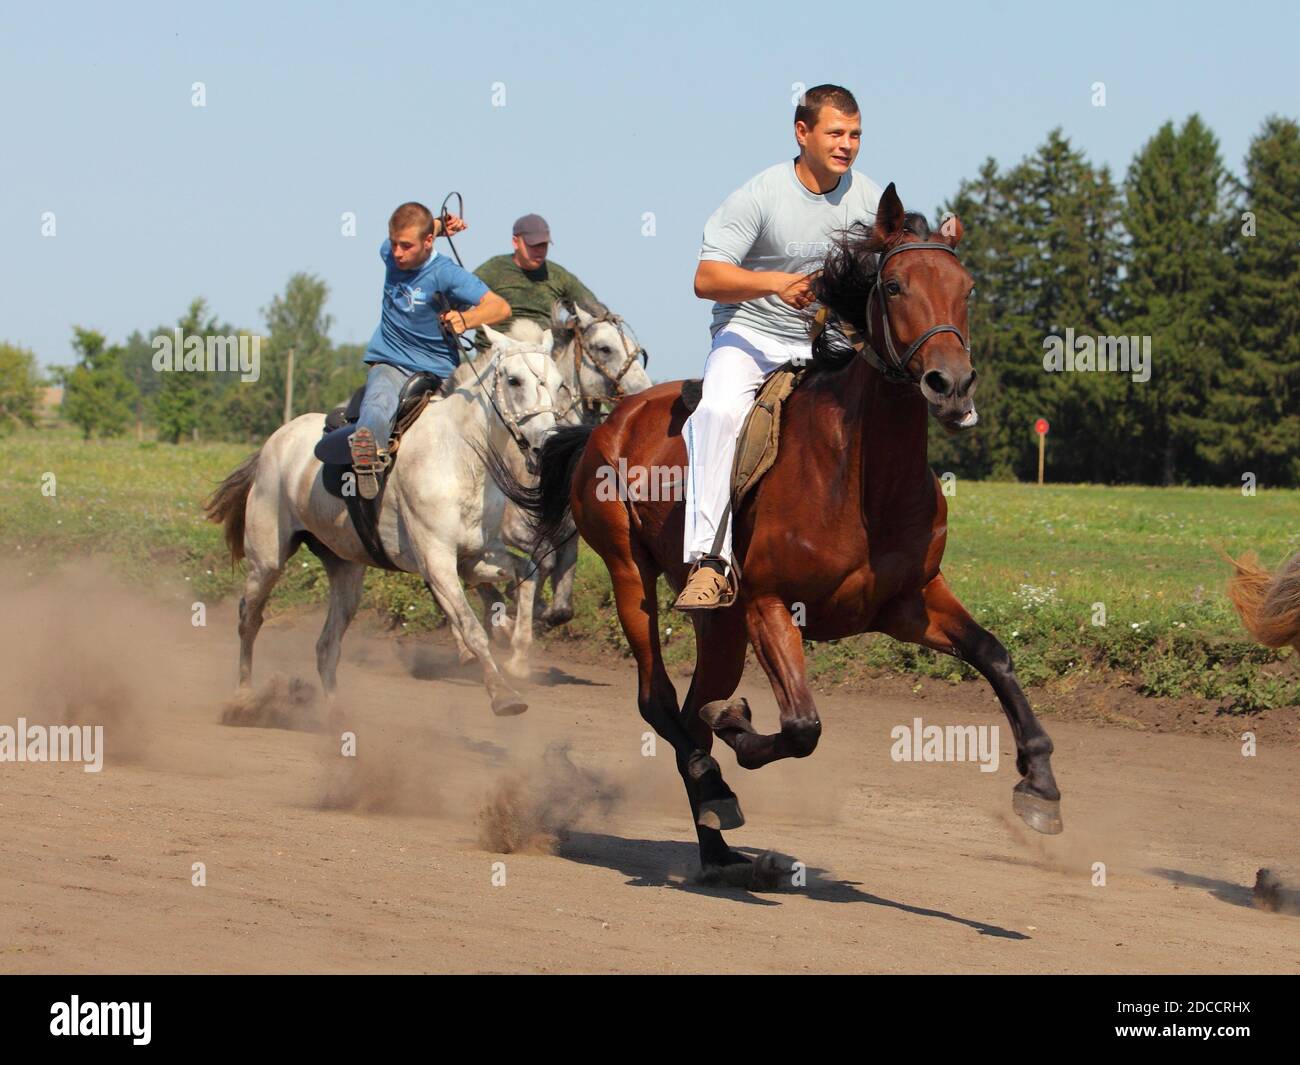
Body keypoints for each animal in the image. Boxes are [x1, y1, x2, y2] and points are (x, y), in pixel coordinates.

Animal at [202, 332, 564, 717]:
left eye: (559, 383)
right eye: (514, 380)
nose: (544, 447)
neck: (460, 457)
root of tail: (273, 442)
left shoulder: (476, 556)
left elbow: (527, 575)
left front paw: (519, 658)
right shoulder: (436, 561)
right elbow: (470, 627)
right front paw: (503, 694)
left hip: (345, 569)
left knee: (326, 645)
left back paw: (333, 714)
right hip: (267, 559)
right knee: (249, 619)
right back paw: (243, 699)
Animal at [491, 183, 1060, 884]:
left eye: (967, 287)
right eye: (894, 285)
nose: (950, 385)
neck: (862, 475)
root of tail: (606, 423)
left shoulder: (908, 601)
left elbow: (994, 654)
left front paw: (1040, 783)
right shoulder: (768, 603)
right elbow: (800, 727)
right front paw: (737, 727)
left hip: (721, 625)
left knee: (688, 712)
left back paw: (718, 846)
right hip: (633, 575)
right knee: (660, 702)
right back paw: (715, 789)